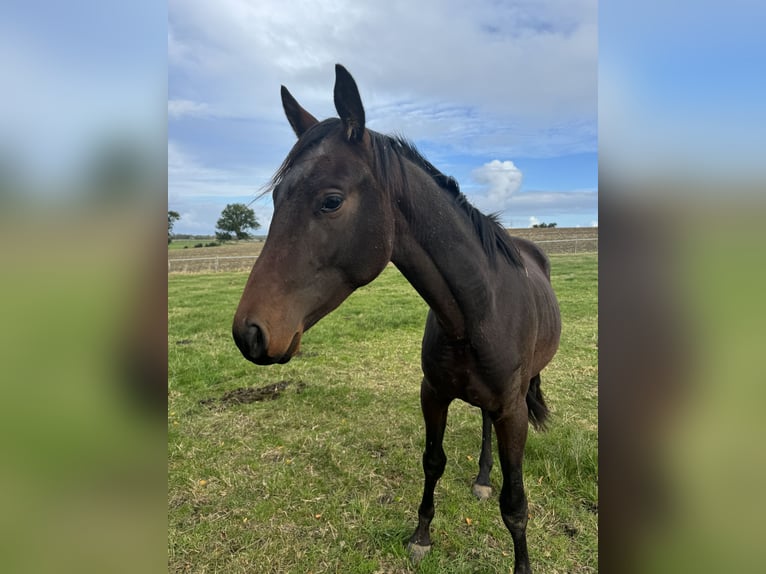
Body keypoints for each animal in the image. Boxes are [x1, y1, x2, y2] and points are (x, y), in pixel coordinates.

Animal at [231, 64, 560, 574]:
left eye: (331, 201)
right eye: (277, 197)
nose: (249, 332)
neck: (476, 312)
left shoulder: (512, 409)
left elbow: (516, 502)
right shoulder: (433, 394)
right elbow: (433, 461)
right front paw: (422, 535)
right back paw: (482, 477)